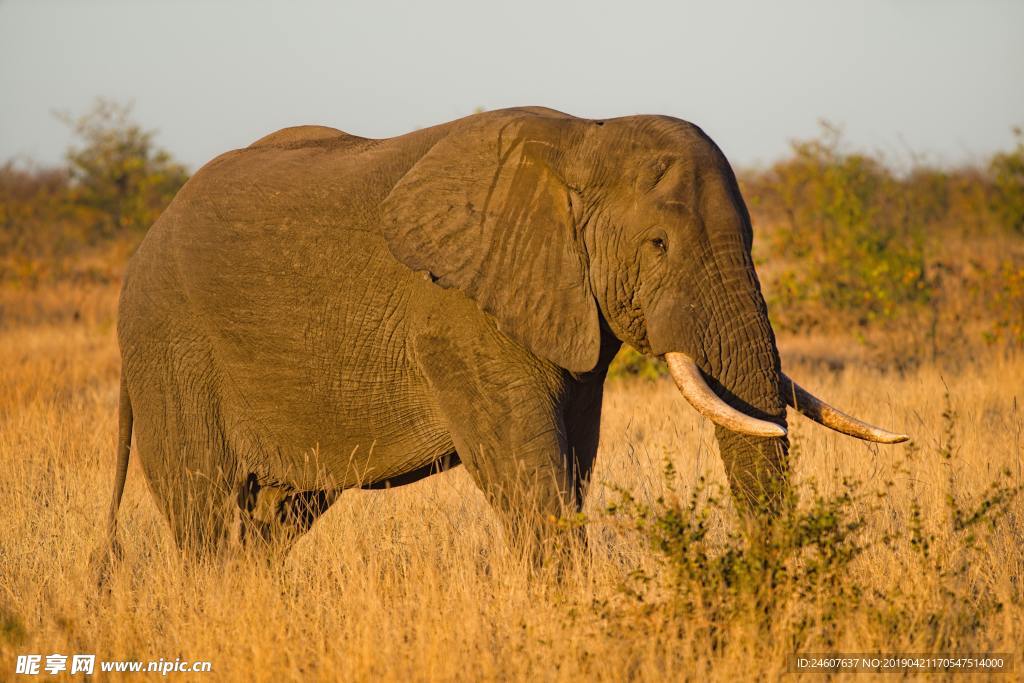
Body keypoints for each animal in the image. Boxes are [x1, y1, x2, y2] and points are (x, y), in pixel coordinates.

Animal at [101, 104, 905, 557]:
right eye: (658, 246)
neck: (584, 141)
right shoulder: (459, 315)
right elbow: (529, 475)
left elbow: (571, 462)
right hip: (170, 347)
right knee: (205, 513)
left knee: (275, 521)